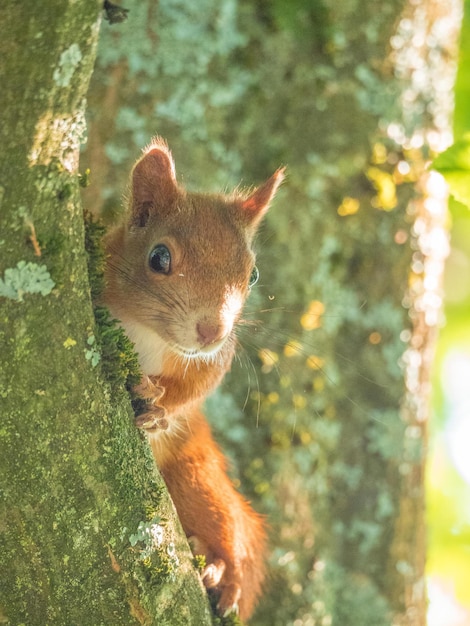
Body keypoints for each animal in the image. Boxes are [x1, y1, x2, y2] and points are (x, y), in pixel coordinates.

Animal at [102, 138, 282, 620]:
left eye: (253, 274)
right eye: (159, 257)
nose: (211, 331)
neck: (148, 333)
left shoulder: (213, 360)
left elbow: (195, 389)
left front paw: (159, 406)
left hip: (196, 476)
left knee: (228, 529)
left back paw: (223, 573)